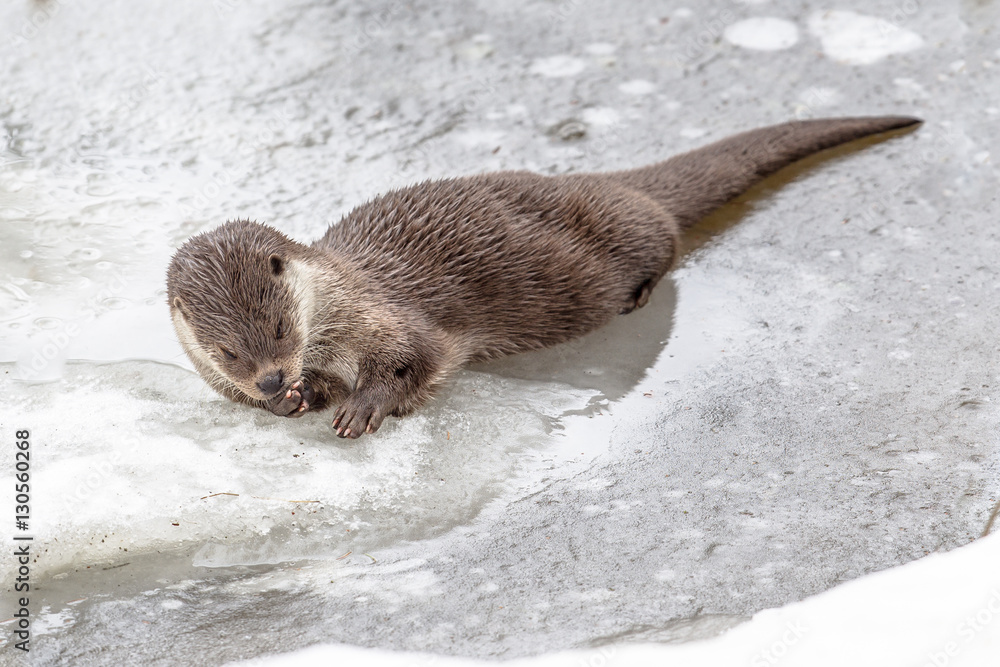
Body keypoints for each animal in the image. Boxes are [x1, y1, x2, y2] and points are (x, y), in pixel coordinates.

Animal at [167, 116, 921, 438]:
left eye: (278, 325)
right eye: (227, 351)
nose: (271, 379)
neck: (339, 317)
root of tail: (607, 181)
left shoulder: (398, 317)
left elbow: (419, 359)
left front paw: (363, 405)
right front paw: (295, 401)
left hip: (622, 228)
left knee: (664, 234)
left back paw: (641, 292)